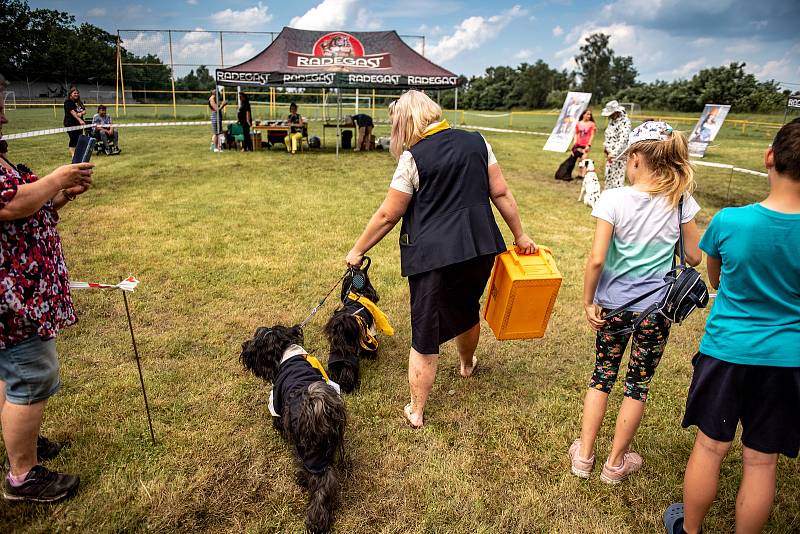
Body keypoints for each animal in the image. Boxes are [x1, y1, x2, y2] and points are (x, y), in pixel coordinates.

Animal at [241, 324, 346, 532]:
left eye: (256, 341)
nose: (244, 347)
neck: (287, 352)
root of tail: (317, 405)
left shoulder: (275, 403)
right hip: (325, 450)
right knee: (327, 480)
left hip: (307, 451)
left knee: (316, 479)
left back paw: (314, 518)